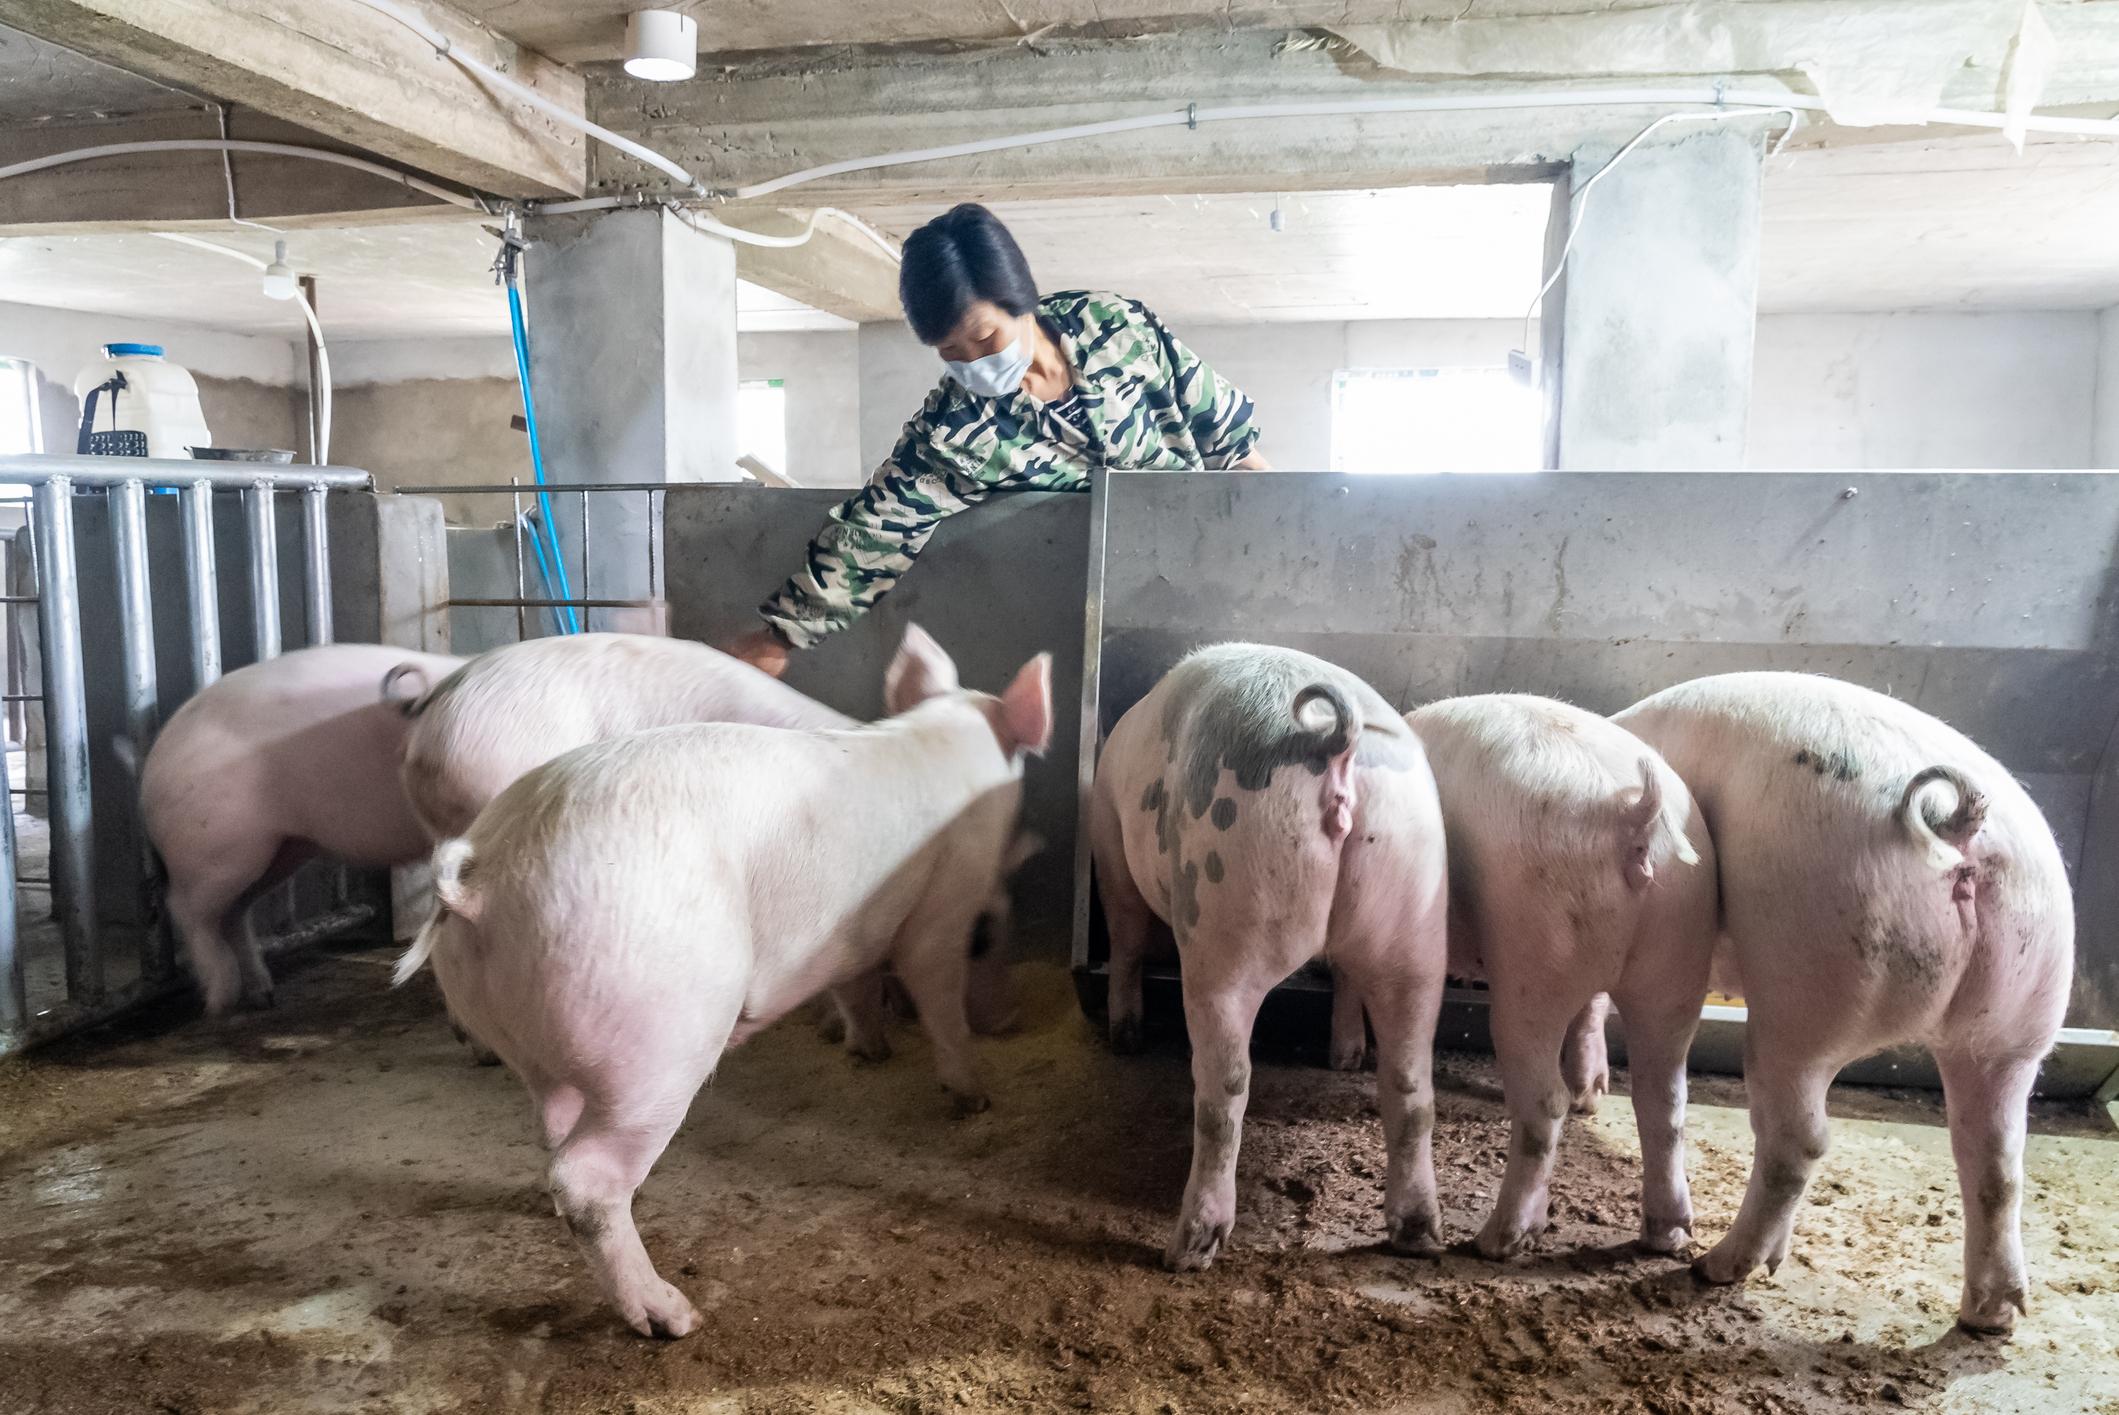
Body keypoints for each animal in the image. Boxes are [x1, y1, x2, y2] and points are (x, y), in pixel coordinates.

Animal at [392, 627, 1051, 1338]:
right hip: (658, 1038)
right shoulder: (945, 902)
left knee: (553, 1131)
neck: (944, 738)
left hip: (544, 1036)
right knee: (585, 1178)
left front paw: (870, 1050)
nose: (1014, 1020)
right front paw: (973, 1096)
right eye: (988, 932)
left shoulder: (848, 932)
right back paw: (673, 1317)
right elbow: (937, 991)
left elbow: (853, 979)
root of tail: (478, 877)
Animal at [1093, 639, 1457, 1270]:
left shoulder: (1110, 843)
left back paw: (1186, 1251)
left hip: (1225, 915)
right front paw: (1345, 1056)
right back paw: (1416, 1235)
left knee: (1226, 1086)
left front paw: (1125, 1039)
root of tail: (1334, 741)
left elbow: (1128, 939)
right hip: (1414, 912)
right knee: (1411, 1083)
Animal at [1398, 694, 1712, 1262]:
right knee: (1666, 1102)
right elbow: (1592, 1009)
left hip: (1534, 955)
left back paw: (1499, 1240)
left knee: (1545, 1103)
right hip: (1680, 955)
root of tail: (1633, 817)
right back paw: (1667, 1235)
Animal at [1618, 673, 2068, 1338]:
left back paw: (1717, 1268)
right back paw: (1990, 1319)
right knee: (1997, 1165)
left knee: (1798, 1140)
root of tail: (1958, 823)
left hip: (1808, 978)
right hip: (2020, 1017)